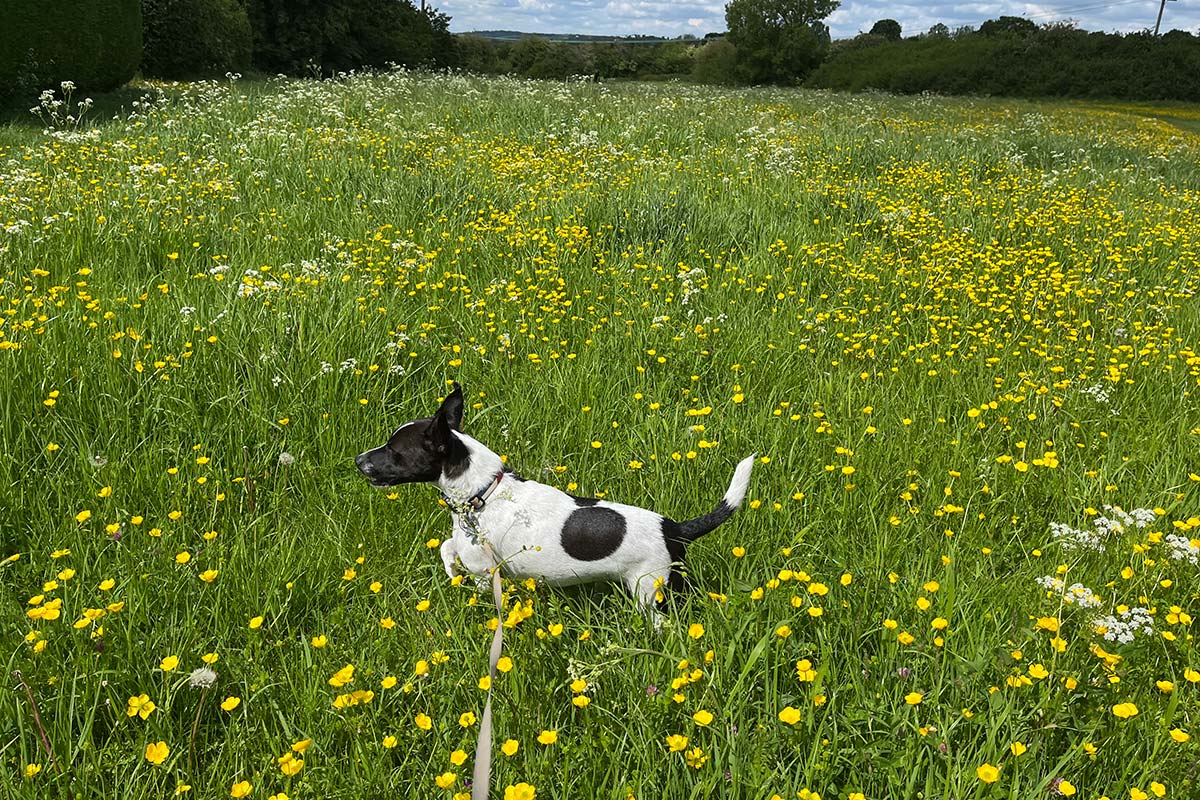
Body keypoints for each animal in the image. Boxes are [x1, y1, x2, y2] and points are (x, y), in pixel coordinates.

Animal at [350, 381, 753, 614]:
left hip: (650, 590)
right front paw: (450, 570)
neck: (484, 492)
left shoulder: (483, 569)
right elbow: (448, 547)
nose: (357, 460)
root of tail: (675, 529)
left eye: (394, 451)